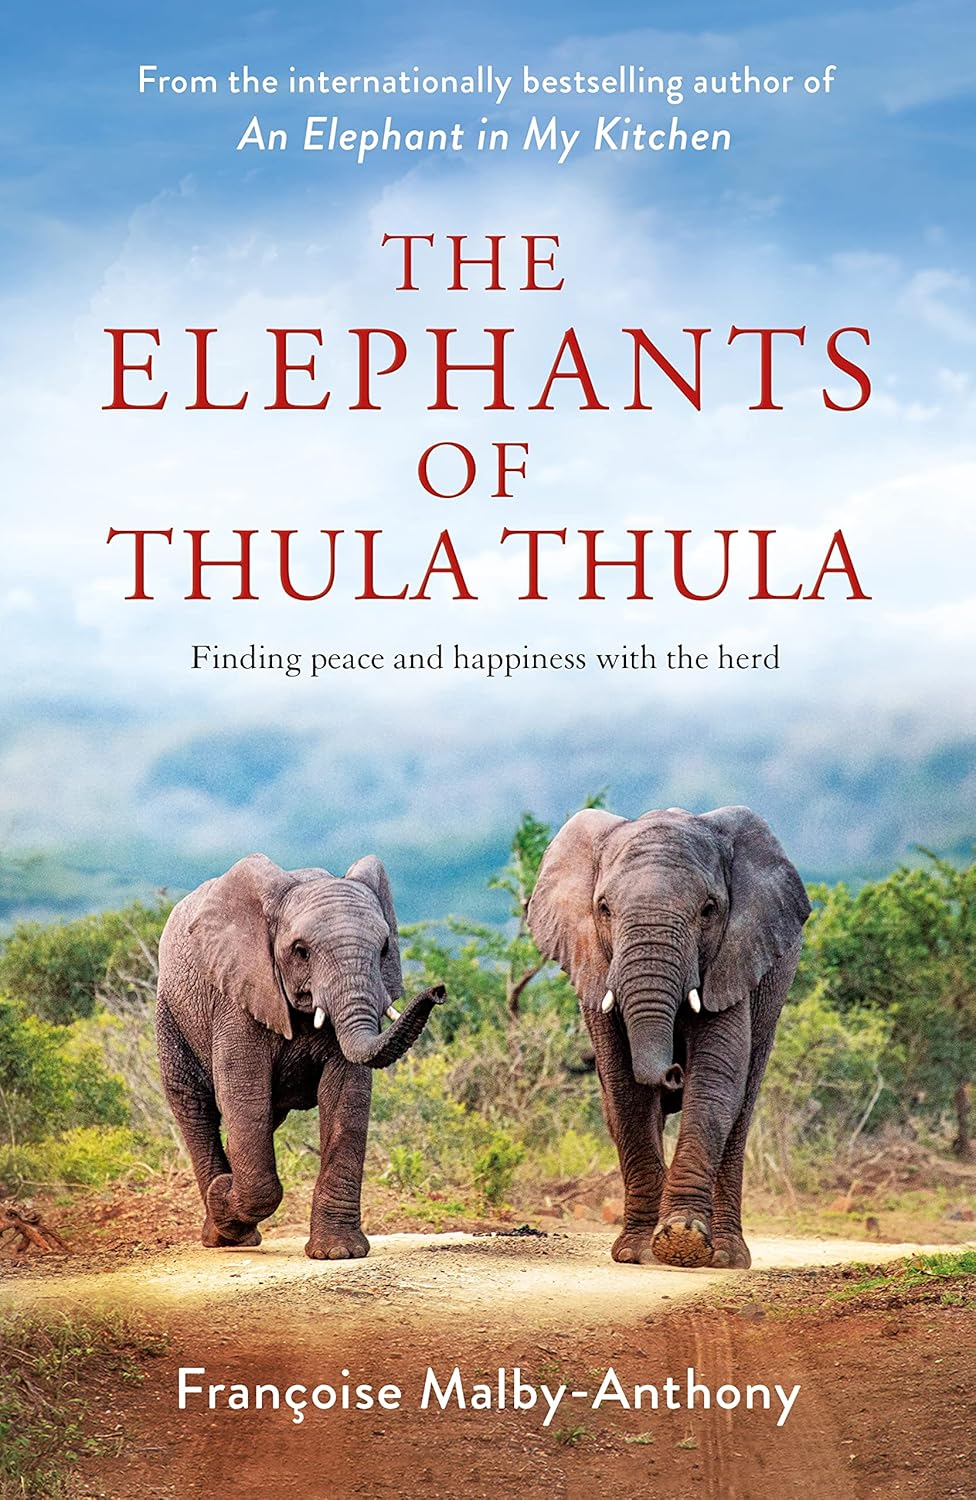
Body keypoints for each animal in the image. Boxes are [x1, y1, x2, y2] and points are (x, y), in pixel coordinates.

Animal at [155, 852, 445, 1260]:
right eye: (301, 951)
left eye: (384, 949)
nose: (439, 990)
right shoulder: (237, 998)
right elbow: (244, 1096)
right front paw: (224, 1194)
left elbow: (346, 1097)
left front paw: (339, 1253)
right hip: (171, 1016)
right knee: (195, 1108)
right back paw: (224, 1233)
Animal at [528, 805, 810, 1271]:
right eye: (603, 908)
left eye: (709, 909)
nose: (675, 1070)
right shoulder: (595, 965)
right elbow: (623, 1087)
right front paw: (637, 1253)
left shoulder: (732, 959)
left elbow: (715, 1078)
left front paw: (683, 1242)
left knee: (741, 1108)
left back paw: (726, 1257)